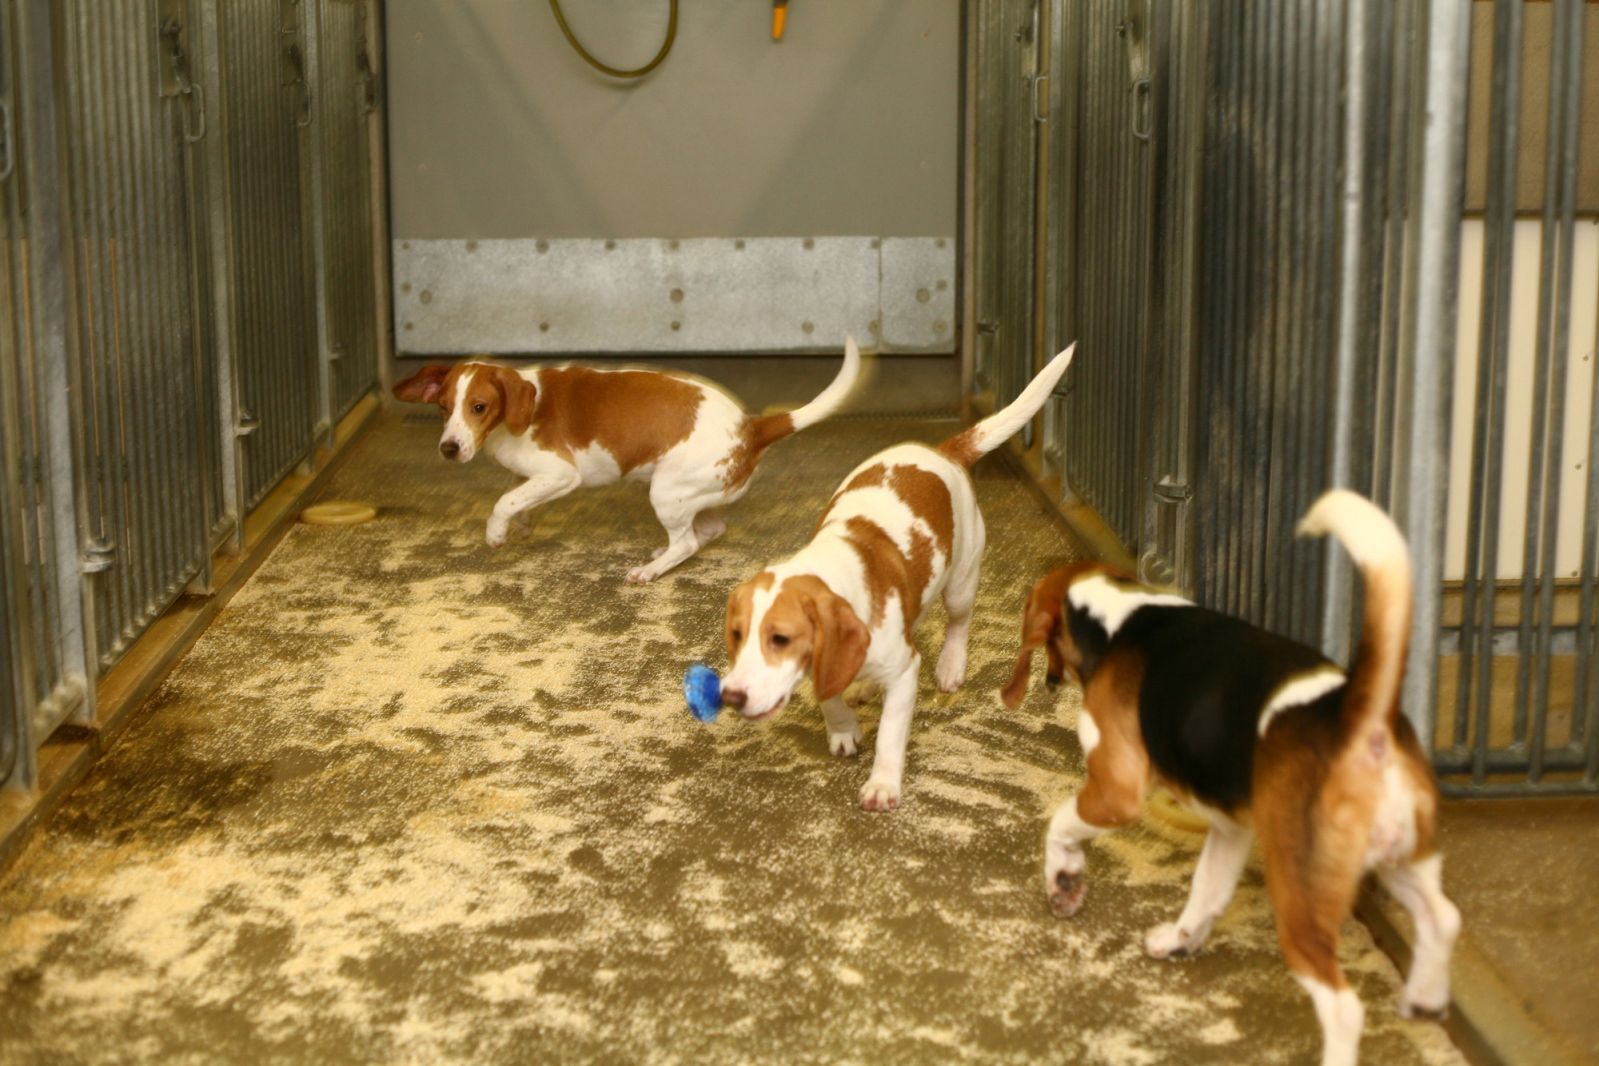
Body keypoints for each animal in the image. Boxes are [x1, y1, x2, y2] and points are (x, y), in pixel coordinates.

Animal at [388, 340, 863, 584]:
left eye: (479, 407)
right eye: (443, 408)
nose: (449, 448)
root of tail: (751, 427)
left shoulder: (562, 474)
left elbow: (504, 502)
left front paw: (497, 533)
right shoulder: (531, 475)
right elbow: (516, 494)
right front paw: (520, 522)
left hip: (665, 492)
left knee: (688, 543)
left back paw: (649, 571)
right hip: (690, 494)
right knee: (707, 530)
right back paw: (663, 553)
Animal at [722, 346, 1074, 811]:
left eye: (780, 639)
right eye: (737, 635)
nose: (729, 696)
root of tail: (945, 452)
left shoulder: (906, 673)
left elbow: (890, 734)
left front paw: (883, 783)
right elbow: (829, 694)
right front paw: (842, 726)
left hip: (961, 583)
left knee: (958, 622)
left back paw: (950, 666)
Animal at [1004, 489, 1458, 1066]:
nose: (1049, 681)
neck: (1118, 617)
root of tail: (1359, 718)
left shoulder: (1114, 790)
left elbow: (1060, 823)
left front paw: (1063, 879)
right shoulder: (1229, 827)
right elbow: (1207, 891)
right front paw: (1181, 939)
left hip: (1302, 893)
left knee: (1343, 1007)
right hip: (1399, 858)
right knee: (1442, 919)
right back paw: (1424, 999)